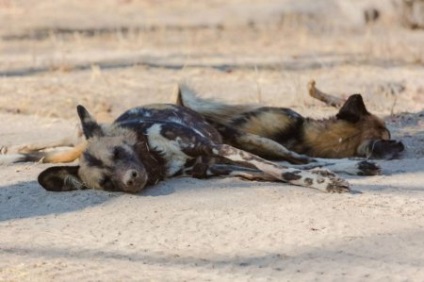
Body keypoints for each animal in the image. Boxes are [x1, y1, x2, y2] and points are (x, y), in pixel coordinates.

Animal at [34, 103, 352, 194]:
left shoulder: (218, 148)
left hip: (250, 142)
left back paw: (346, 166)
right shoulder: (215, 165)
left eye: (118, 153)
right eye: (107, 182)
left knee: (296, 159)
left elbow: (282, 171)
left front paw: (322, 182)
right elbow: (271, 173)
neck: (156, 157)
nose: (131, 179)